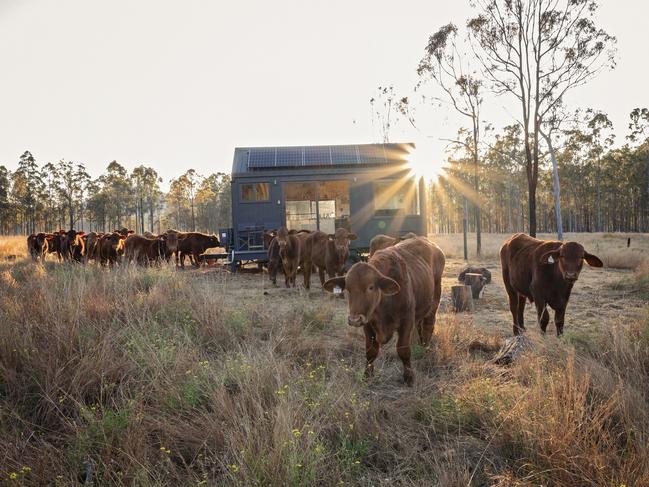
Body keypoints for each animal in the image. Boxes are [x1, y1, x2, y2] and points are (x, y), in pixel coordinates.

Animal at [324, 236, 446, 386]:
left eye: (371, 287)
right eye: (348, 289)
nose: (354, 319)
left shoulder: (407, 321)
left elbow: (403, 350)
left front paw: (409, 377)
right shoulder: (367, 323)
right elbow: (371, 351)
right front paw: (367, 375)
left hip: (434, 302)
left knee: (428, 326)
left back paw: (426, 350)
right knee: (420, 327)